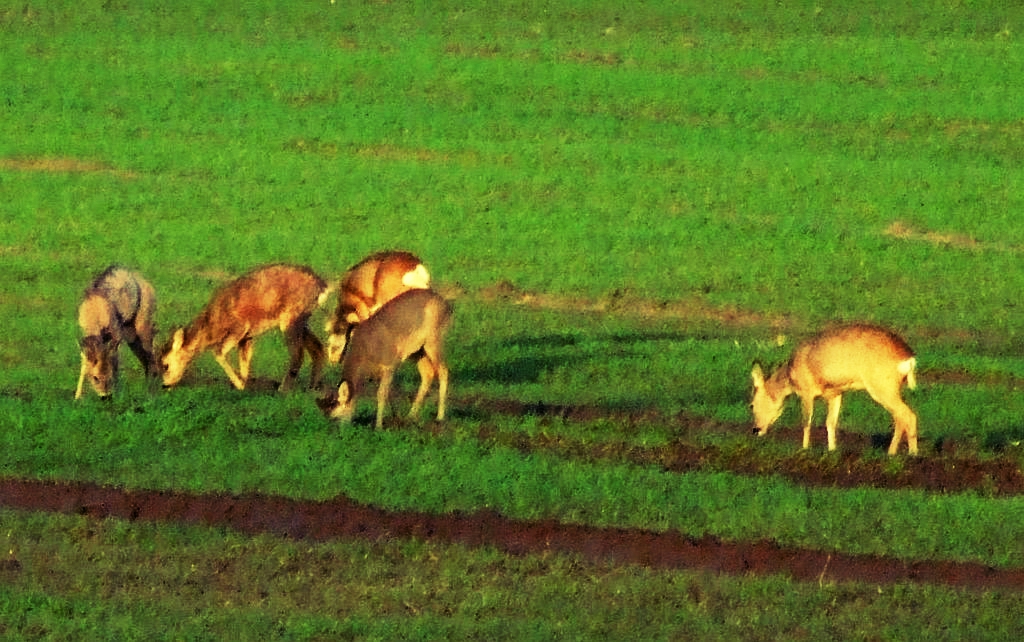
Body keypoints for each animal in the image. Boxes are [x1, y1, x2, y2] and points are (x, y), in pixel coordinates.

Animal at [74, 264, 158, 397]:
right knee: (145, 359)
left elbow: (116, 364)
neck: (95, 312)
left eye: (109, 376)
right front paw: (77, 396)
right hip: (131, 338)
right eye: (95, 378)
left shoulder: (116, 336)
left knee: (152, 356)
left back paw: (154, 388)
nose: (106, 396)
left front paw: (118, 393)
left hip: (142, 330)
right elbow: (84, 365)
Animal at [160, 264, 327, 391]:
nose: (164, 385)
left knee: (298, 354)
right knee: (318, 347)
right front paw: (244, 385)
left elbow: (218, 352)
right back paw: (313, 387)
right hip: (302, 320)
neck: (214, 327)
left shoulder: (240, 327)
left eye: (165, 365)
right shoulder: (247, 337)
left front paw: (239, 385)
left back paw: (283, 389)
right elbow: (244, 362)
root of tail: (322, 286)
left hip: (291, 318)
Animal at [327, 288, 452, 430]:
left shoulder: (390, 364)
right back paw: (410, 415)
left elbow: (381, 394)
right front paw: (395, 418)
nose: (335, 431)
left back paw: (440, 417)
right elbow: (388, 394)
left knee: (443, 371)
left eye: (336, 418)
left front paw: (378, 426)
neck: (365, 348)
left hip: (433, 341)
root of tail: (447, 306)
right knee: (428, 373)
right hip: (418, 352)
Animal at [745, 325, 921, 456]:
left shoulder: (806, 390)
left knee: (908, 415)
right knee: (900, 417)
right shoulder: (835, 393)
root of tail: (909, 358)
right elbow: (830, 422)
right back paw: (893, 452)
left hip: (882, 385)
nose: (755, 429)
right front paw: (832, 449)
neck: (790, 375)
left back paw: (911, 454)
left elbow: (806, 421)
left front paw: (804, 449)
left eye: (751, 405)